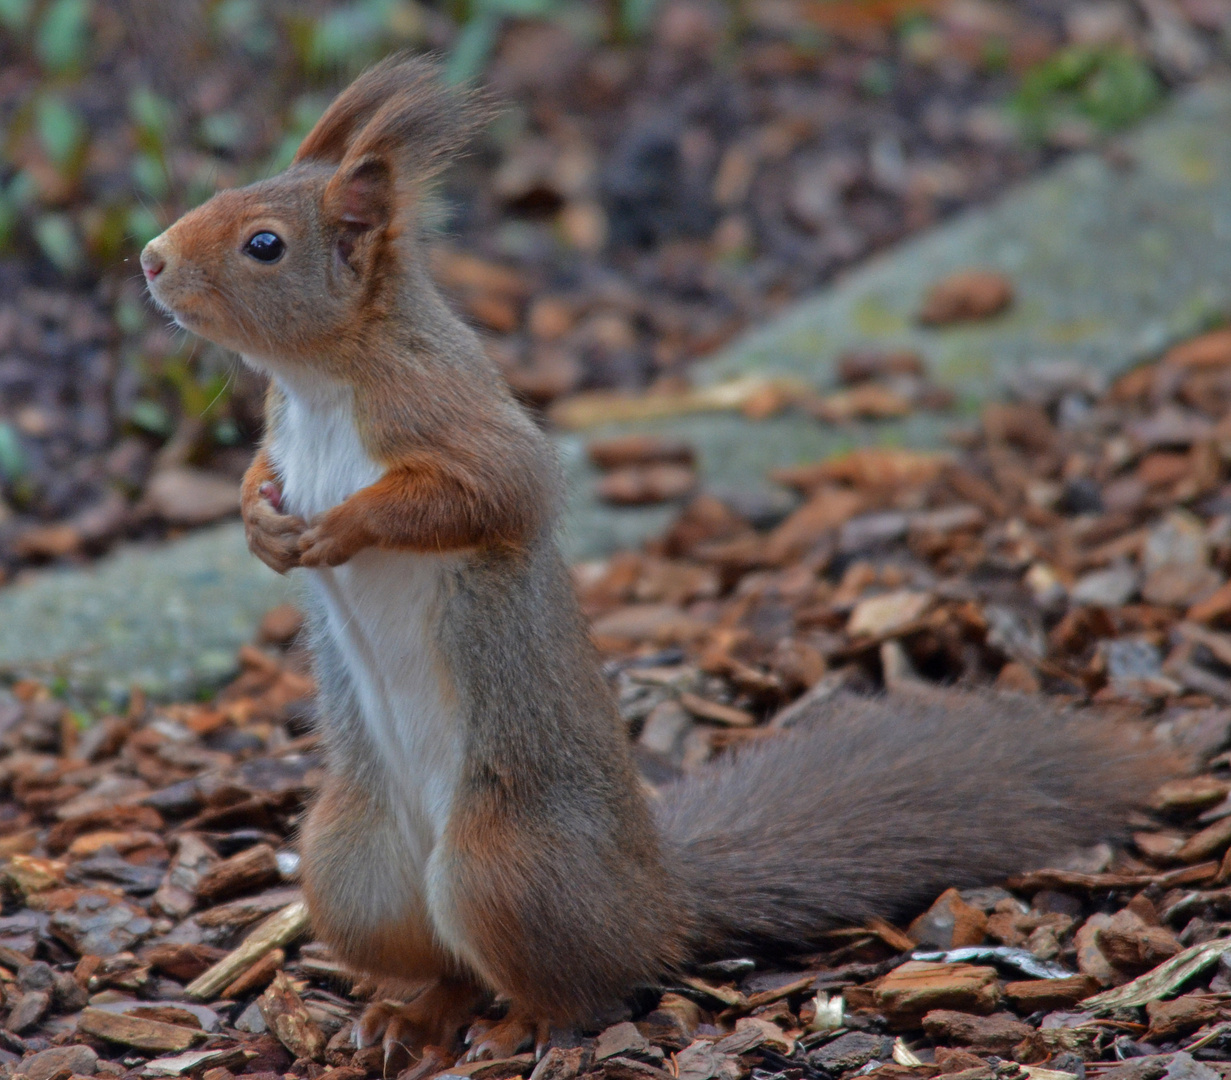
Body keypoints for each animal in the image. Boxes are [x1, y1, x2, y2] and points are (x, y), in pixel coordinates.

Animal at [141, 56, 1162, 1063]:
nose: (150, 257)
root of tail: (655, 900)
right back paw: (411, 1018)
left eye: (264, 245)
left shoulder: (449, 416)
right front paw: (259, 524)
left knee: (575, 987)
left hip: (501, 869)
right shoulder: (286, 437)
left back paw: (521, 1030)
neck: (320, 385)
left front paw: (340, 528)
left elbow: (484, 494)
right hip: (352, 867)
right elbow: (258, 477)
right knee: (445, 966)